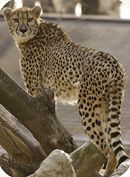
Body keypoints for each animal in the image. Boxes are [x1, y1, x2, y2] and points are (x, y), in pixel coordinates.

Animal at [2, 5, 129, 177]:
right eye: (16, 19)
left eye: (29, 19)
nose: (22, 30)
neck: (35, 32)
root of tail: (113, 62)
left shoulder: (34, 90)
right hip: (106, 106)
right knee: (112, 146)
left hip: (86, 107)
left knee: (104, 145)